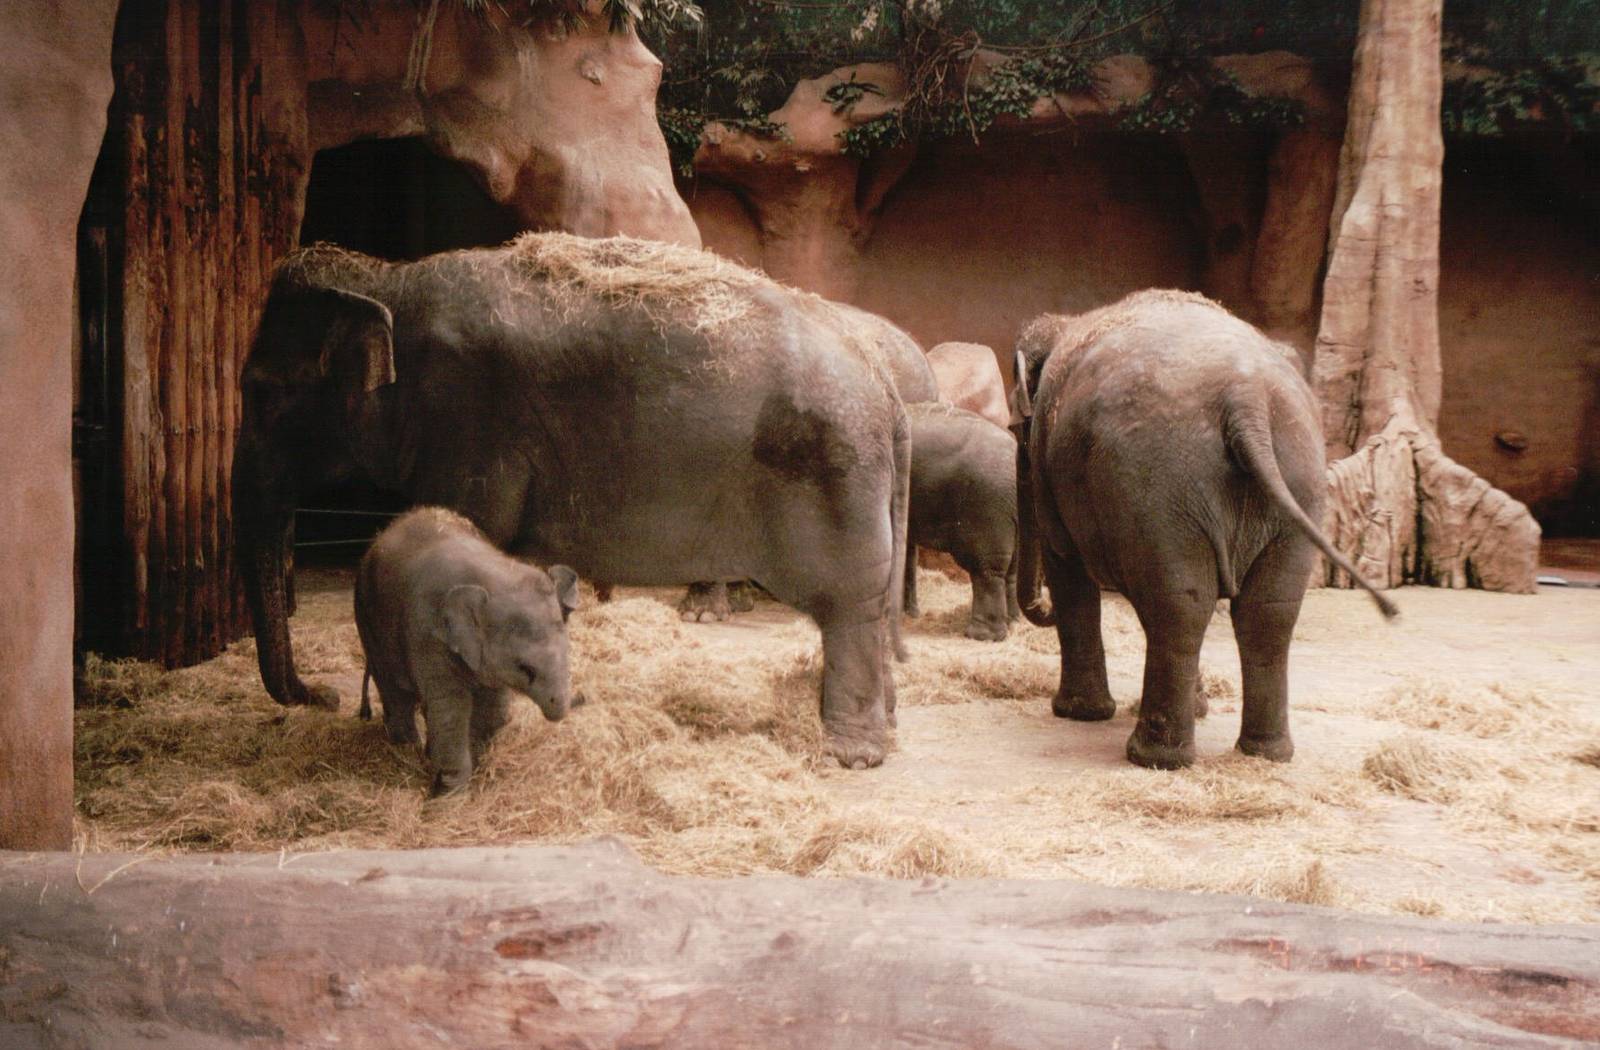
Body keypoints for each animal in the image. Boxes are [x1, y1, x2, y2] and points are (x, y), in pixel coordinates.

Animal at [355, 507, 580, 795]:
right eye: (525, 668)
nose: (561, 709)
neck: (493, 574)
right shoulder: (427, 632)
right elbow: (451, 709)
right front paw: (448, 794)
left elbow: (494, 709)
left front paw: (476, 769)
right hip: (367, 619)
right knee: (394, 691)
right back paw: (407, 749)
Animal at [904, 402, 1020, 641]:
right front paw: (909, 615)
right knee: (1012, 567)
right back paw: (1014, 623)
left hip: (987, 504)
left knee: (986, 567)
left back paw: (982, 635)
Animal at [1010, 289, 1398, 770]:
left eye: (1014, 429)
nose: (1037, 608)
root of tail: (1246, 398)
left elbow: (1067, 568)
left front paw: (1077, 713)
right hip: (1294, 480)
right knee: (1264, 610)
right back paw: (1265, 753)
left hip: (1160, 483)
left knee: (1179, 604)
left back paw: (1155, 758)